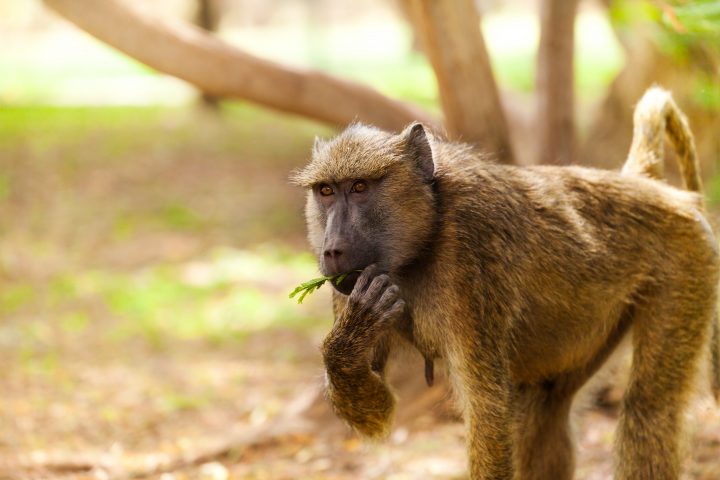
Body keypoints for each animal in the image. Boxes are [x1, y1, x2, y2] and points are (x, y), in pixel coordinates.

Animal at [292, 86, 720, 480]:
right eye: (326, 191)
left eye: (360, 188)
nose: (332, 250)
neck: (427, 231)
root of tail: (652, 189)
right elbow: (379, 415)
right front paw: (351, 335)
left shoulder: (472, 258)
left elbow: (488, 409)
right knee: (546, 415)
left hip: (687, 261)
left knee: (648, 411)